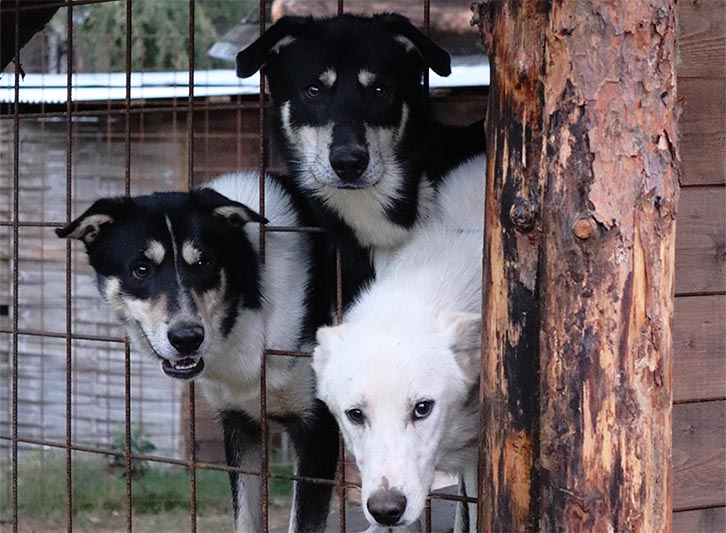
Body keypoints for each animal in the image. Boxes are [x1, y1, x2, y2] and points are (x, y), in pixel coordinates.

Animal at [56, 172, 338, 528]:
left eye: (204, 263)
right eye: (141, 269)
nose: (187, 338)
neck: (248, 300)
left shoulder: (319, 429)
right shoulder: (239, 423)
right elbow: (244, 518)